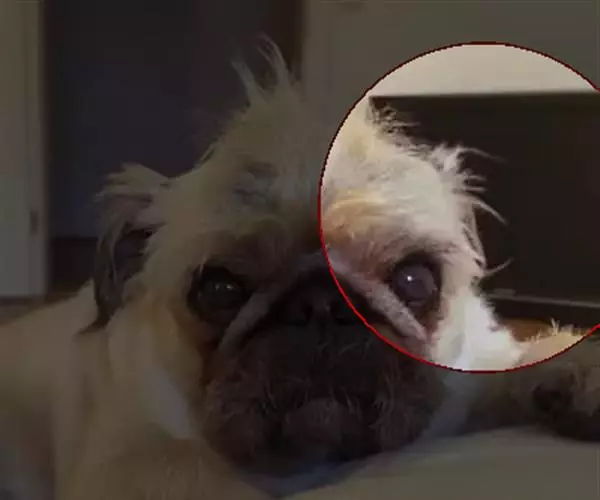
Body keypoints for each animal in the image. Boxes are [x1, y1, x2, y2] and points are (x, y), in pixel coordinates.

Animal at [0, 42, 596, 500]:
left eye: (415, 279)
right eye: (218, 290)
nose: (321, 304)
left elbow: (513, 361)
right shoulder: (139, 459)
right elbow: (186, 468)